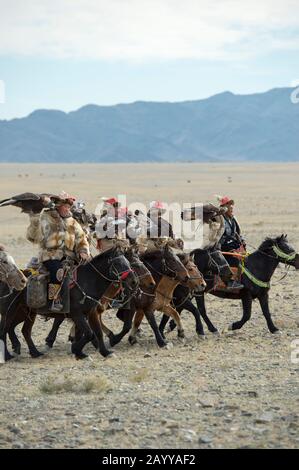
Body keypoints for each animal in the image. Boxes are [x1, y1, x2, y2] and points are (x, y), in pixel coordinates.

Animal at [0, 248, 138, 362]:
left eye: (128, 262)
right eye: (119, 264)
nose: (134, 281)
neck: (87, 281)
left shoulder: (91, 312)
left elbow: (97, 332)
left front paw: (105, 352)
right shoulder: (77, 313)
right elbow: (89, 333)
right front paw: (77, 350)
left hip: (26, 312)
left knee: (24, 331)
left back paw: (35, 353)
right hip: (9, 311)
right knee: (4, 331)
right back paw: (7, 355)